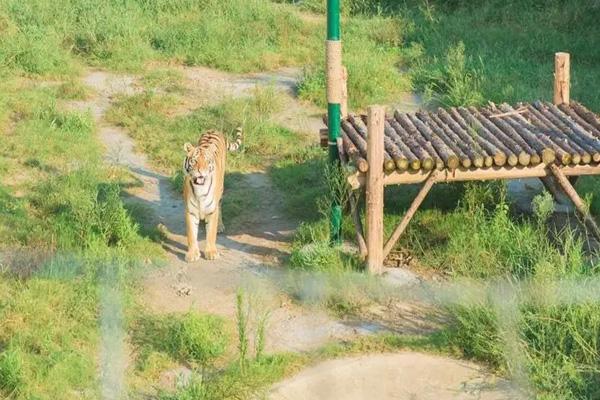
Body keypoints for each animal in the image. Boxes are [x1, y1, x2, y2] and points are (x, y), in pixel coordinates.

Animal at [182, 126, 243, 260]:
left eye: (206, 161)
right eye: (194, 161)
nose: (201, 171)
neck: (200, 189)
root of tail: (213, 129)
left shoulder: (211, 210)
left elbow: (211, 234)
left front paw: (211, 252)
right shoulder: (190, 211)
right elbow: (191, 234)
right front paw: (192, 254)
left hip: (220, 191)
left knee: (220, 207)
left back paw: (220, 226)